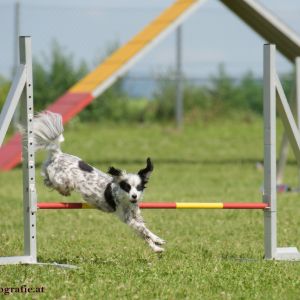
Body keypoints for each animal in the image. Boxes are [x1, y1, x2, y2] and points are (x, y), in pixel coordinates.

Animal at [27, 111, 165, 252]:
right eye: (127, 187)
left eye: (138, 187)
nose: (134, 196)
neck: (125, 200)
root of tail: (58, 154)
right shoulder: (126, 218)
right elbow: (142, 229)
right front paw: (157, 239)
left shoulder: (135, 216)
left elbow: (144, 233)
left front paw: (156, 246)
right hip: (63, 181)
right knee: (49, 179)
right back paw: (59, 189)